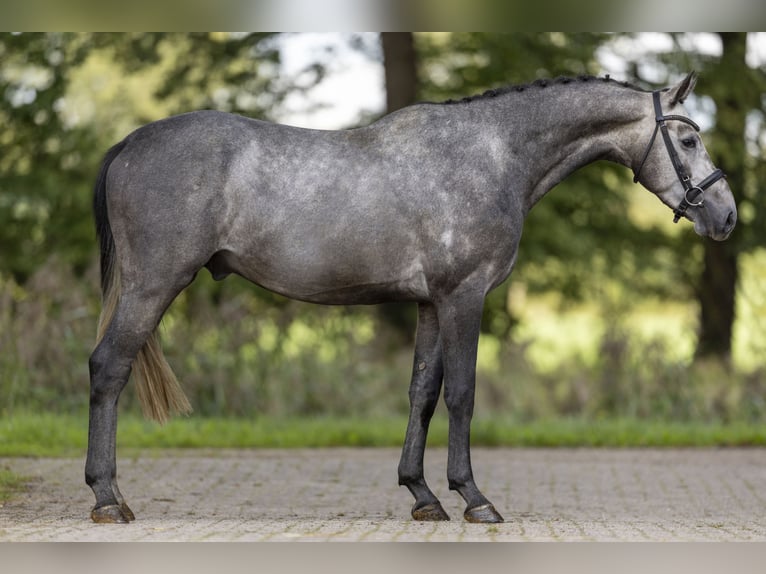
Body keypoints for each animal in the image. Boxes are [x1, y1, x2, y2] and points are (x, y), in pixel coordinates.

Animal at [84, 72, 736, 528]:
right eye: (687, 138)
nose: (727, 216)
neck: (491, 154)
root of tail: (129, 143)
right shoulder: (464, 298)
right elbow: (462, 395)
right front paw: (474, 498)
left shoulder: (430, 304)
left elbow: (422, 394)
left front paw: (422, 496)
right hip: (153, 284)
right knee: (108, 368)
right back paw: (107, 498)